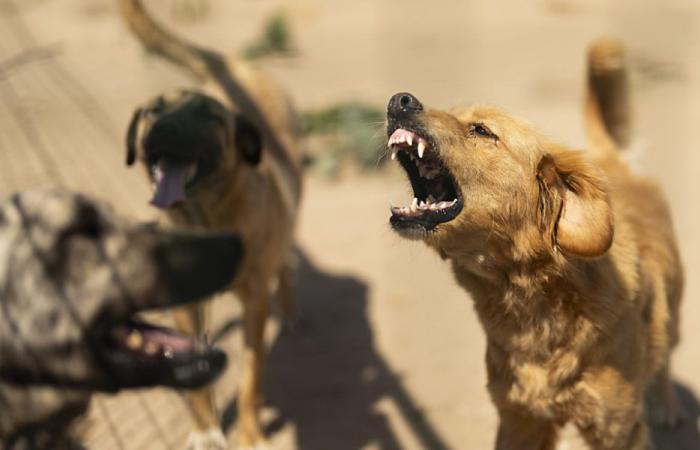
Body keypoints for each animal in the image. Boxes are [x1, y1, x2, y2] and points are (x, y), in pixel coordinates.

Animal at [120, 1, 300, 448]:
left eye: (209, 116)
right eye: (153, 110)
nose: (164, 129)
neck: (204, 217)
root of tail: (236, 66)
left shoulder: (254, 304)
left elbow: (251, 380)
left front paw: (249, 436)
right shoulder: (186, 305)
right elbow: (195, 373)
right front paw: (205, 431)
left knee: (287, 262)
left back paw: (289, 311)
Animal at [382, 37, 684, 448]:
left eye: (481, 130)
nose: (399, 100)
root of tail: (611, 163)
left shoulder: (616, 429)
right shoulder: (518, 420)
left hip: (673, 311)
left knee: (665, 356)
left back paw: (667, 406)